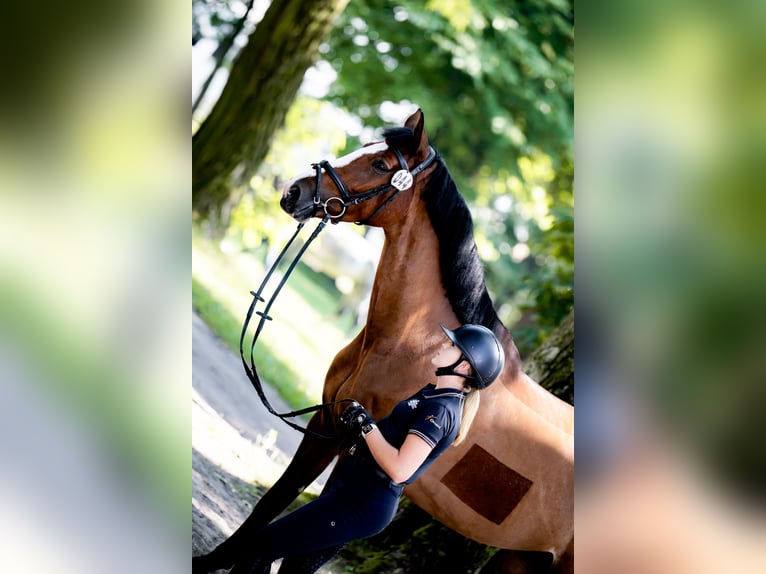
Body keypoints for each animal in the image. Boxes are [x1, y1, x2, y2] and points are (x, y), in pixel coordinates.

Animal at [194, 109, 574, 573]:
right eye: (364, 148)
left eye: (380, 164)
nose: (293, 191)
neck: (411, 344)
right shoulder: (325, 426)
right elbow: (273, 500)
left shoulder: (353, 446)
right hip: (522, 557)